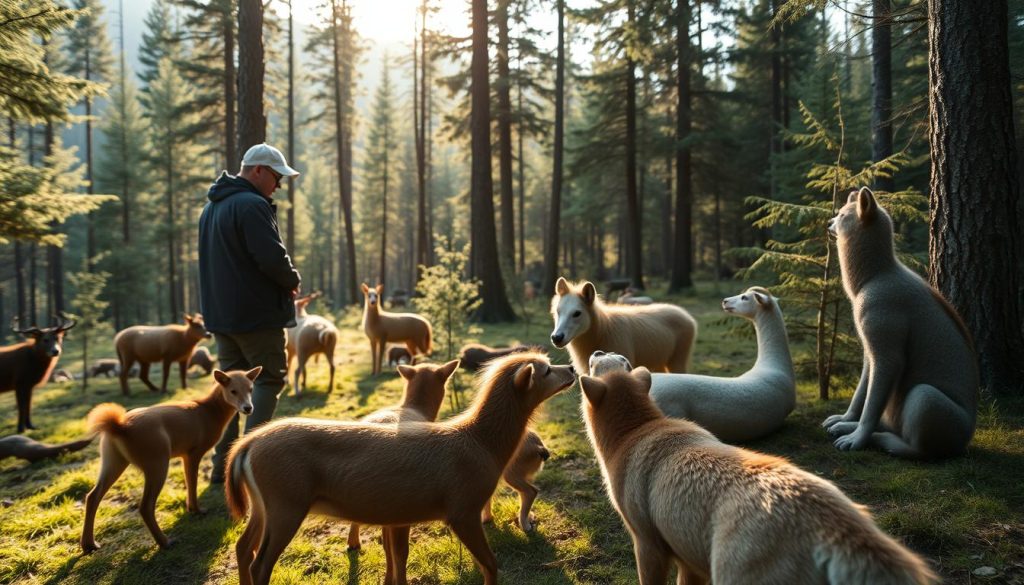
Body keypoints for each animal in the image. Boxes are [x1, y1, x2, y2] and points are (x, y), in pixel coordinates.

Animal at [577, 366, 937, 585]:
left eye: (598, 365)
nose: (594, 354)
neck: (639, 429)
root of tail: (830, 523)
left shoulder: (647, 546)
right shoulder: (688, 557)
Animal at [823, 186, 974, 456]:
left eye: (842, 215)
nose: (828, 222)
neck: (875, 276)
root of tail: (967, 437)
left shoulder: (887, 352)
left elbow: (871, 407)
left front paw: (857, 438)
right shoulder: (870, 352)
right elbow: (861, 395)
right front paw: (846, 418)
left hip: (925, 398)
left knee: (918, 449)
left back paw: (880, 439)